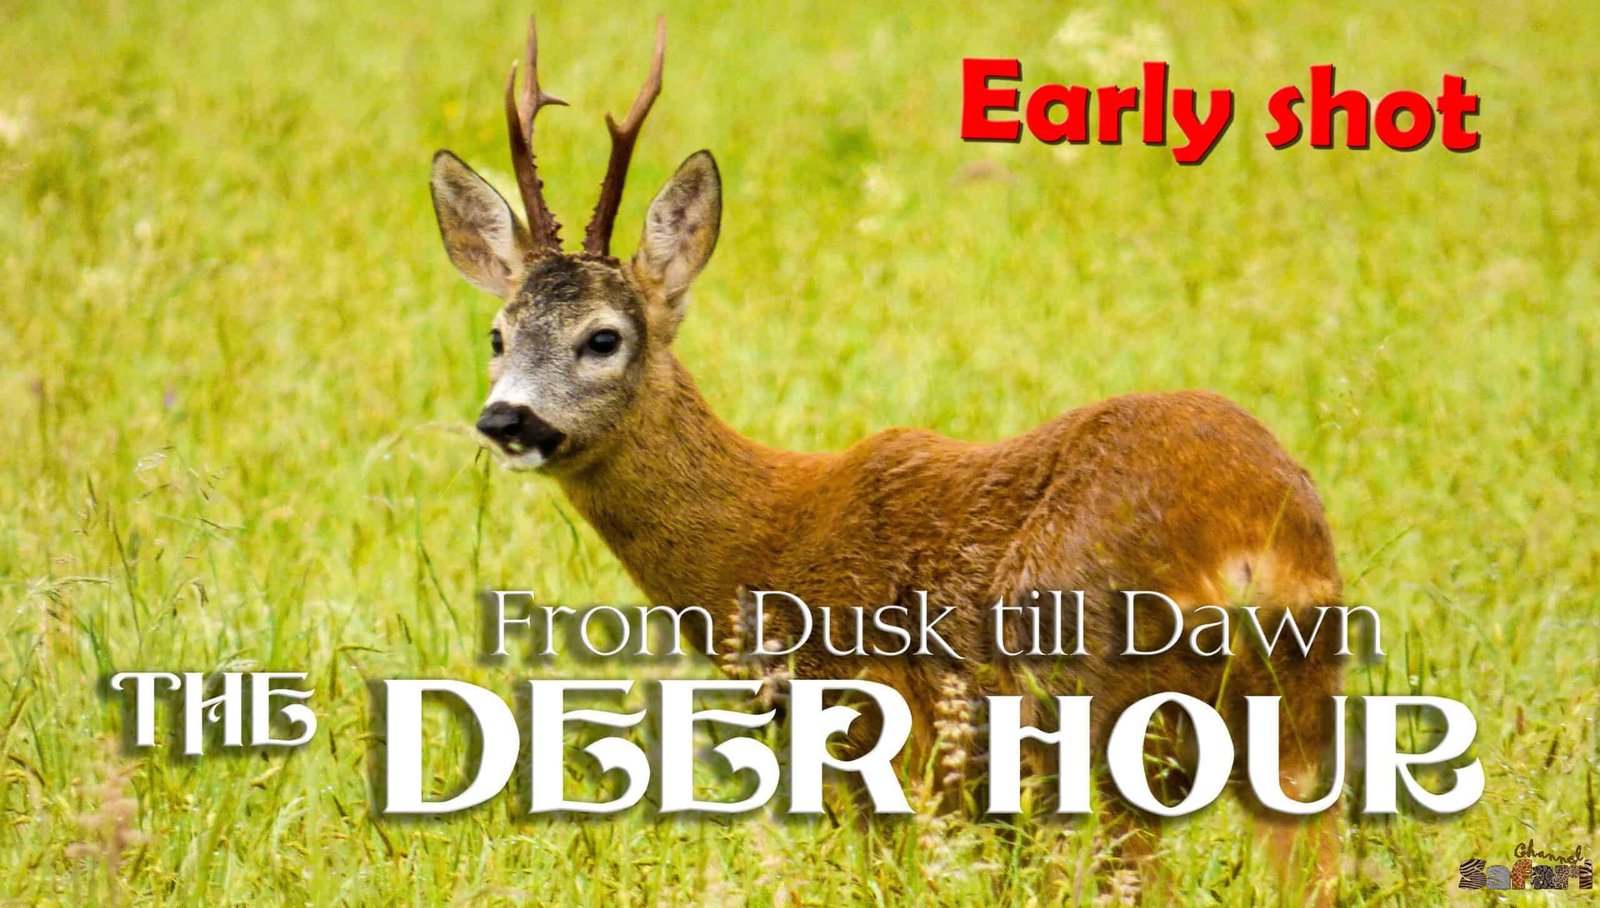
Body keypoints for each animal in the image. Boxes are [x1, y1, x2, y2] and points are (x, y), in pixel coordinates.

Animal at [428, 16, 1346, 902]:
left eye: (603, 338)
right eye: (498, 335)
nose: (506, 418)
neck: (762, 546)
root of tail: (1248, 538)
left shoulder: (880, 747)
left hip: (1090, 717)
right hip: (1296, 722)